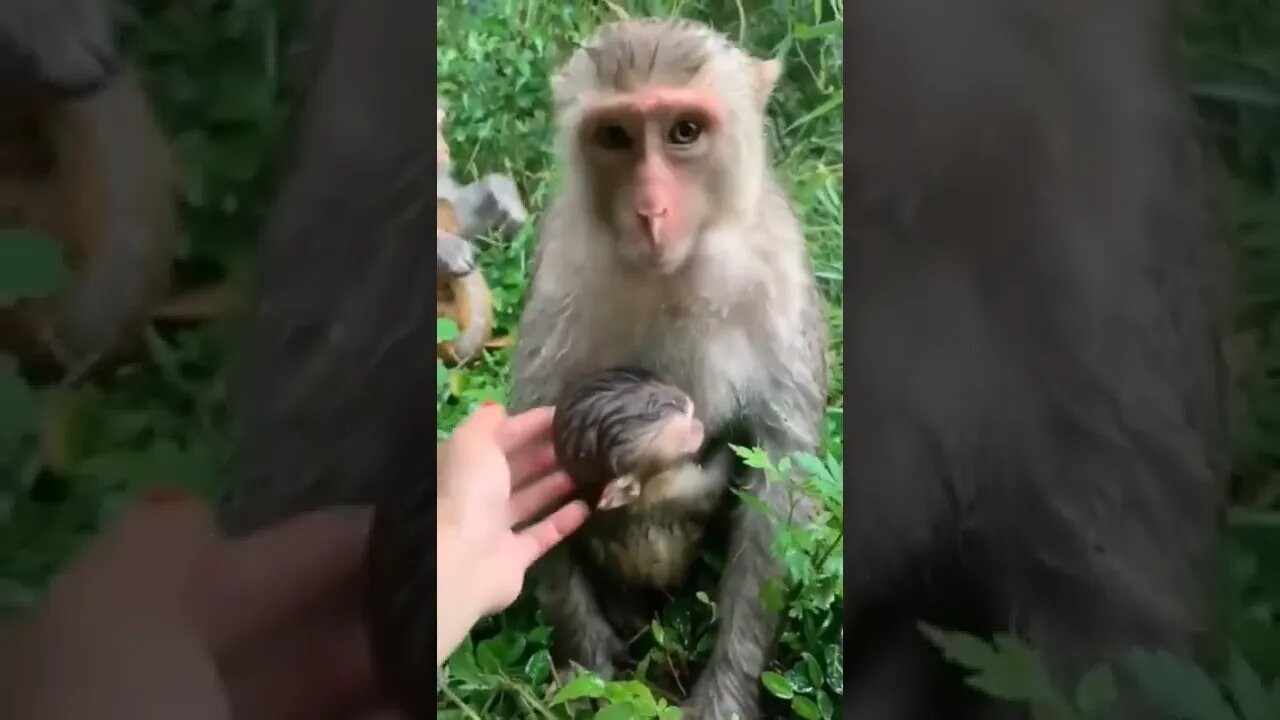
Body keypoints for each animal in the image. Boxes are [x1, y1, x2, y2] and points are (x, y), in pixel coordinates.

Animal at [506, 16, 829, 717]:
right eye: (615, 136)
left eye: (685, 131)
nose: (650, 211)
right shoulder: (563, 272)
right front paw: (591, 666)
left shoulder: (779, 271)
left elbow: (781, 468)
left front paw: (726, 688)